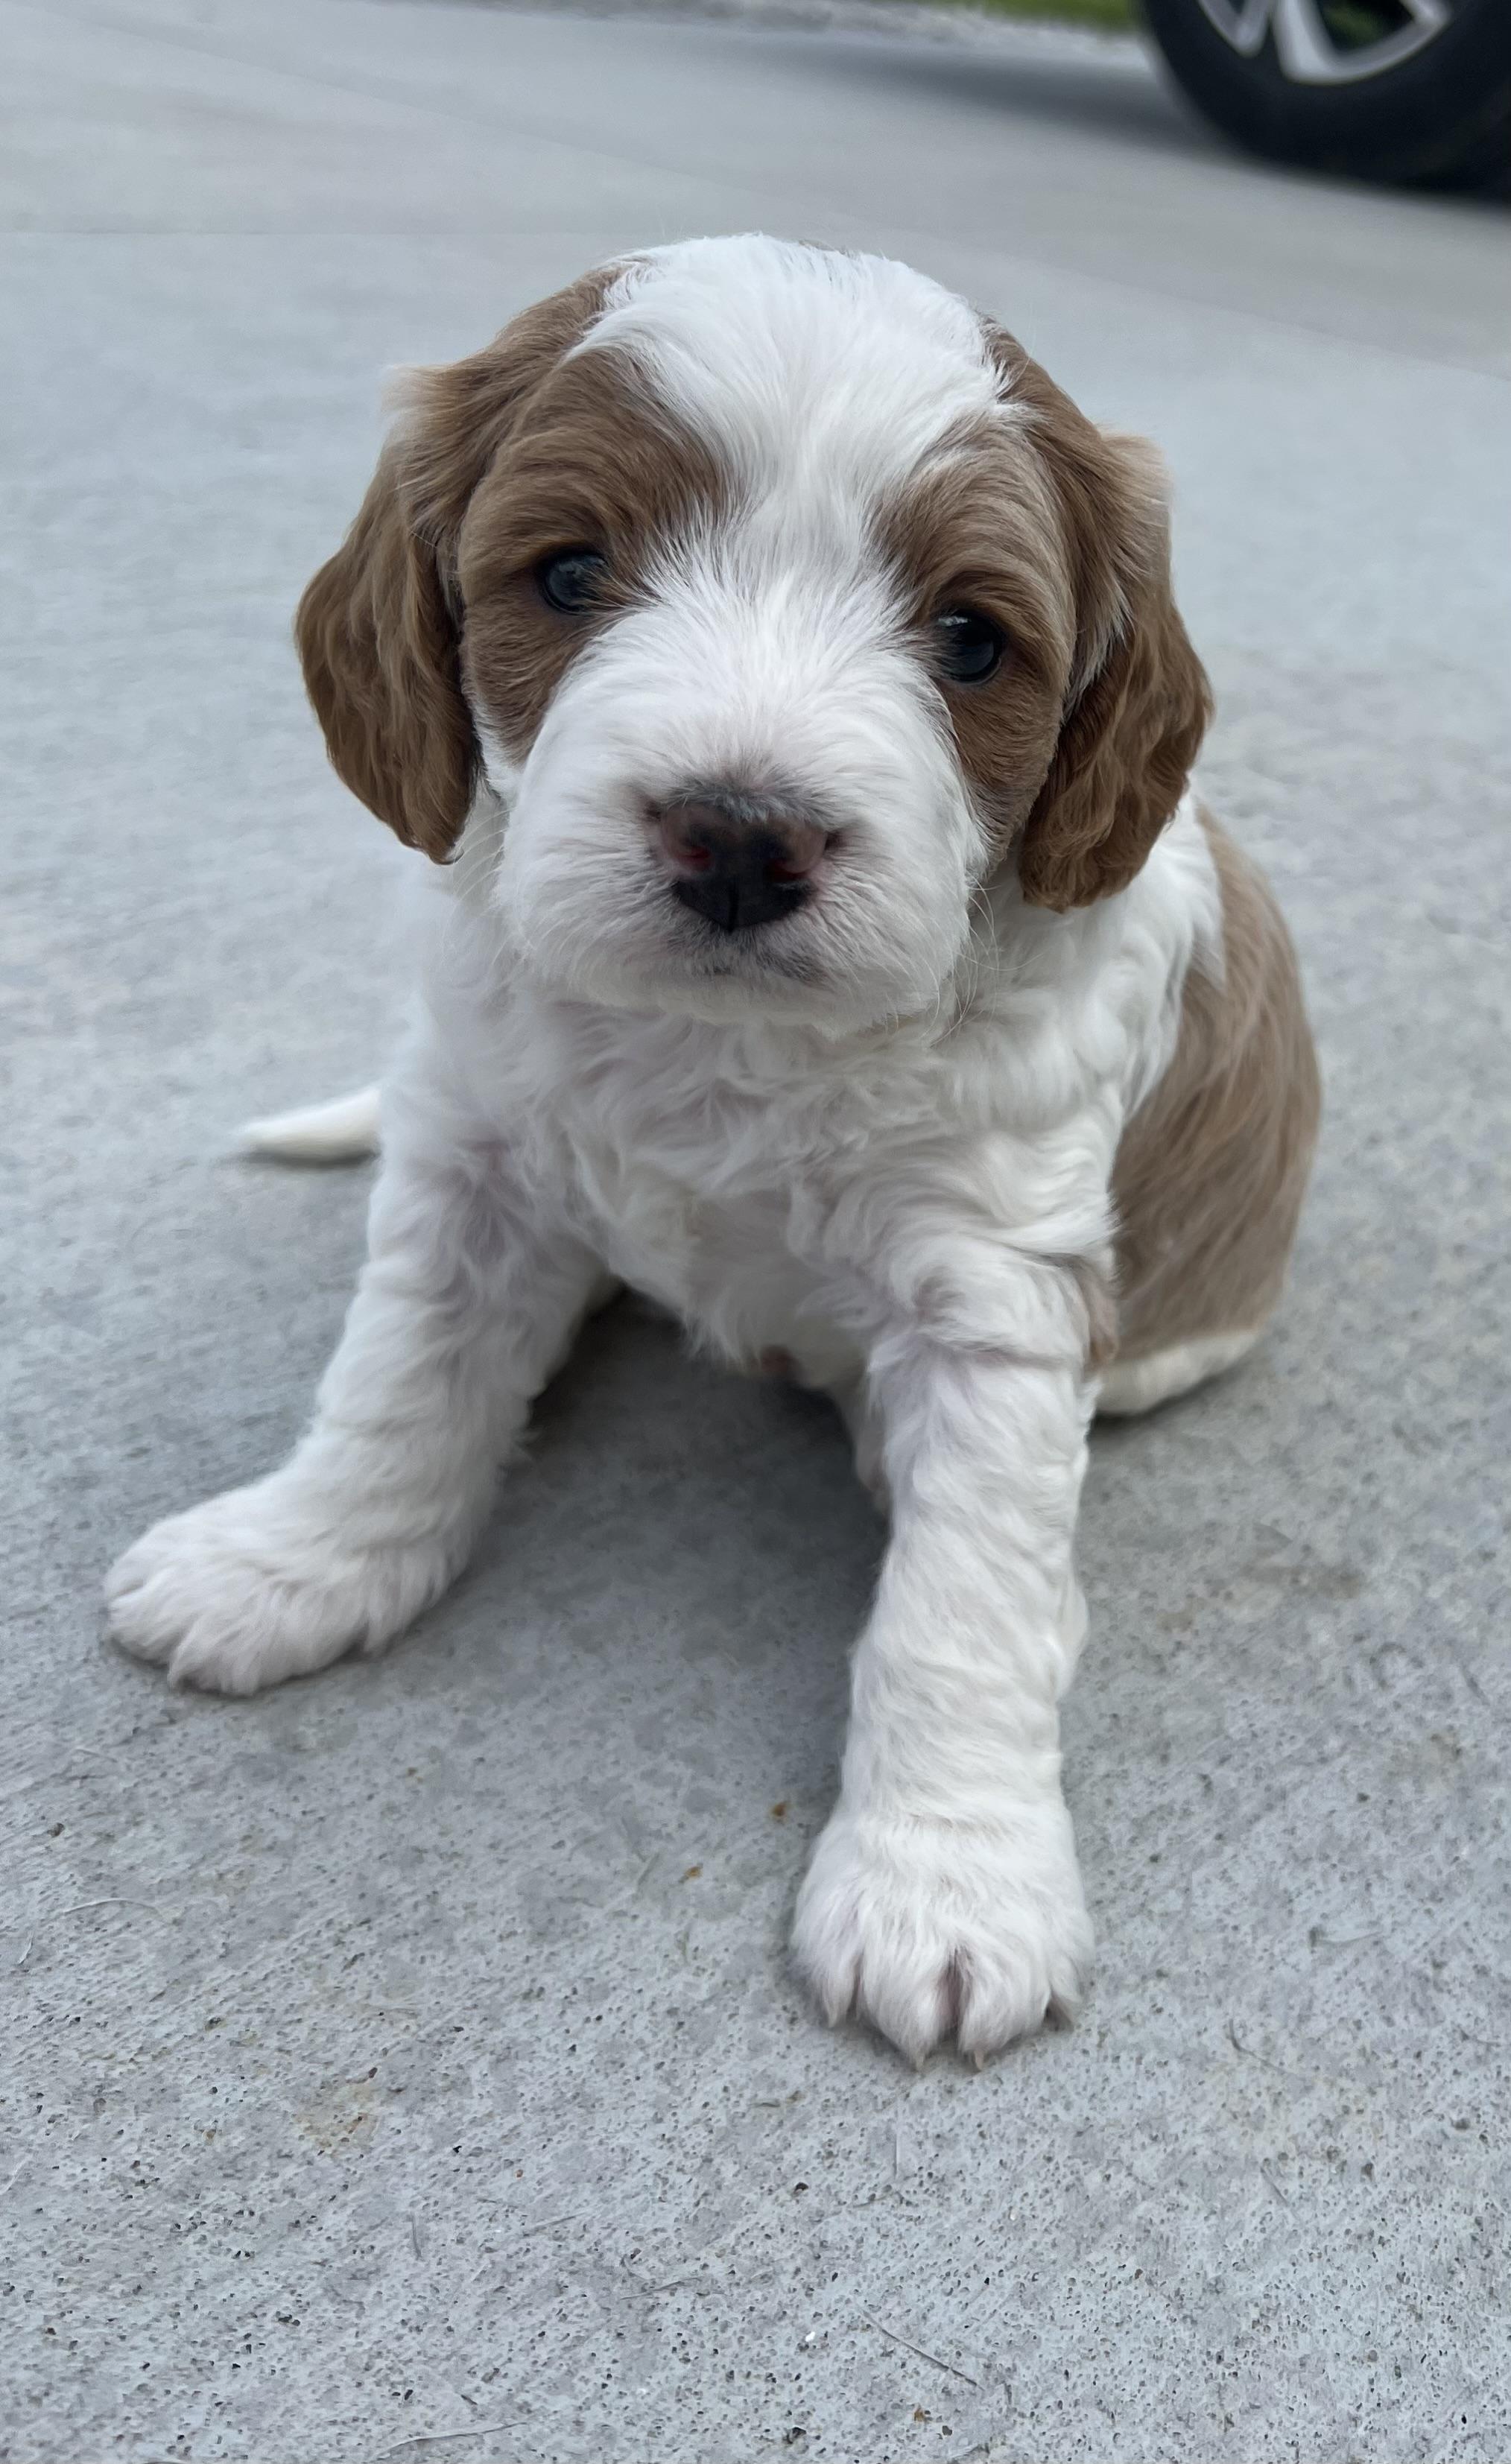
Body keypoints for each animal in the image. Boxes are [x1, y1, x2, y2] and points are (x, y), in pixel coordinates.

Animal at [105, 236, 1319, 2063]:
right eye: (567, 572)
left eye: (970, 640)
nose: (742, 838)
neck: (723, 1047)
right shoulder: (471, 1158)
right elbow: (402, 1381)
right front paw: (297, 1561)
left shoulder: (993, 1298)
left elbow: (961, 1604)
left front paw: (946, 1880)